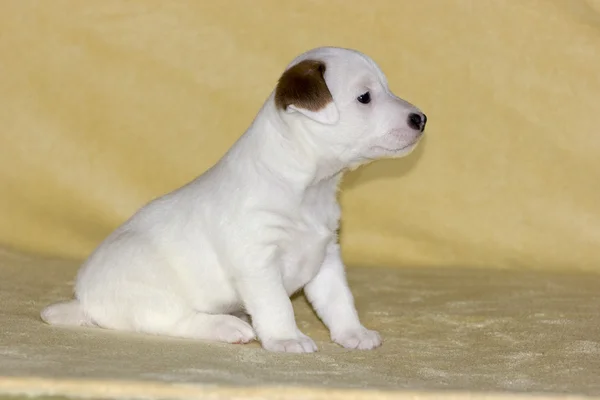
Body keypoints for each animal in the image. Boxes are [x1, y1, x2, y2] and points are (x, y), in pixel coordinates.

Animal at [41, 46, 426, 354]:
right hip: (153, 292)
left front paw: (353, 333)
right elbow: (277, 305)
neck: (308, 188)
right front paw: (286, 338)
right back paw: (228, 325)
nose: (421, 118)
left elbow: (339, 301)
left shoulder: (326, 257)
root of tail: (84, 301)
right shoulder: (258, 262)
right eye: (365, 97)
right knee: (175, 321)